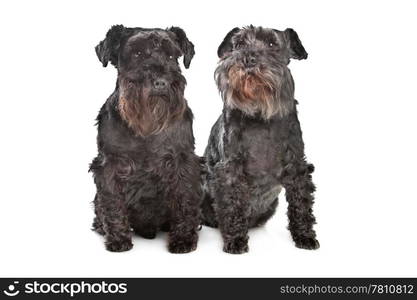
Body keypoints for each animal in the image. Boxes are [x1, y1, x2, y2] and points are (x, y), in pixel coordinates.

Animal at [90, 25, 202, 253]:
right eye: (137, 53)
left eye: (171, 56)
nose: (161, 82)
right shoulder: (109, 165)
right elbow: (112, 202)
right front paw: (118, 239)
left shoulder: (183, 162)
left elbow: (185, 199)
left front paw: (183, 239)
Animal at [202, 25, 318, 253]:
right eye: (238, 44)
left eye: (272, 44)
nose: (248, 59)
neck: (260, 115)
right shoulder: (230, 169)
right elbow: (232, 204)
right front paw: (236, 240)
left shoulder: (297, 166)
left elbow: (301, 202)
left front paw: (305, 236)